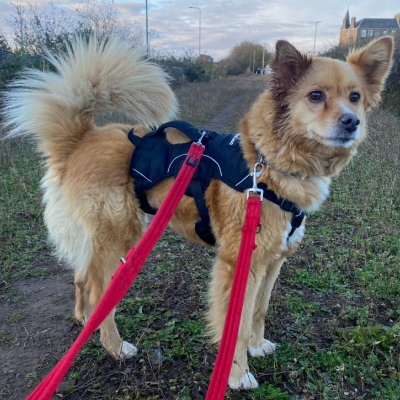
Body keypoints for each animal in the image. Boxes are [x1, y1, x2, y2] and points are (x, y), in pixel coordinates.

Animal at [1, 36, 392, 388]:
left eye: (355, 97)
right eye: (315, 96)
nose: (351, 121)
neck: (268, 166)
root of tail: (81, 138)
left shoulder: (273, 261)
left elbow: (258, 310)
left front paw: (257, 345)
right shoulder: (241, 263)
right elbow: (235, 324)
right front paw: (237, 375)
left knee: (83, 280)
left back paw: (86, 322)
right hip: (119, 237)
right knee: (101, 295)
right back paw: (114, 346)